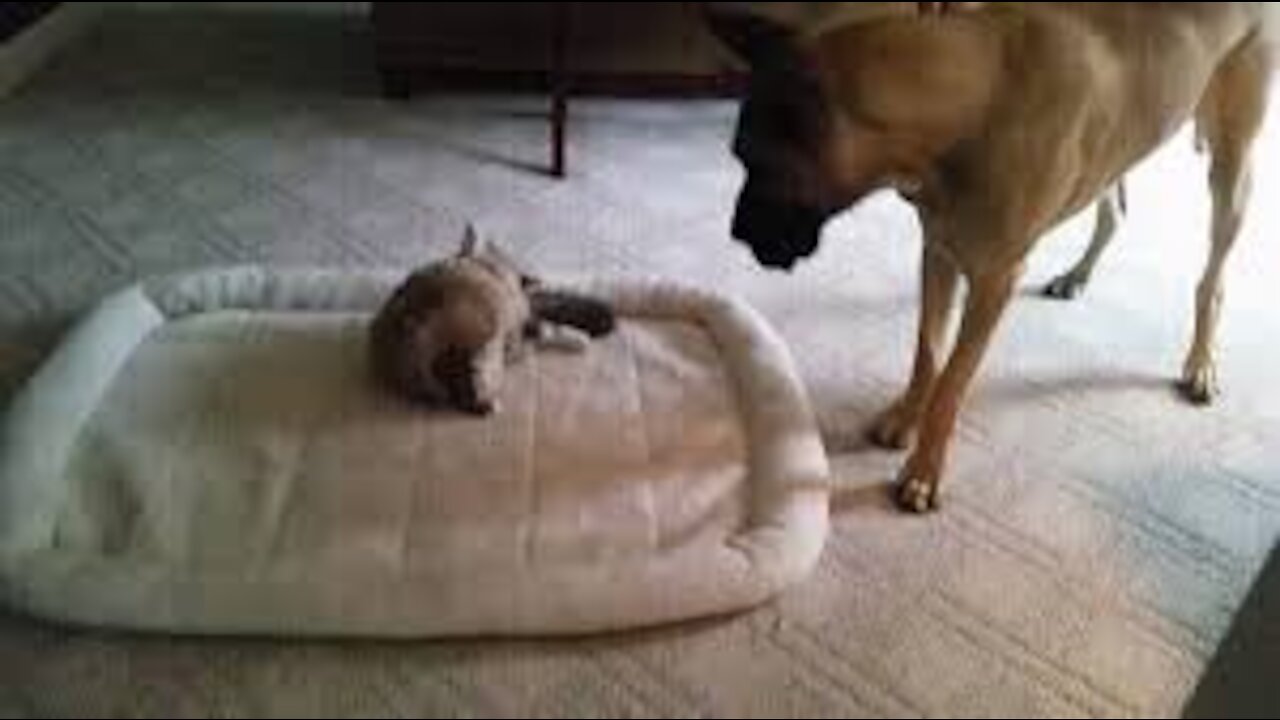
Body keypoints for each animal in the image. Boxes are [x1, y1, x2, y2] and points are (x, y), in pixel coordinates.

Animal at [711, 4, 1269, 509]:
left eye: (755, 161)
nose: (735, 234)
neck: (969, 105)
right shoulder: (939, 252)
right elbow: (927, 351)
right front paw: (905, 417)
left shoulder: (994, 279)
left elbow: (954, 380)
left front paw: (924, 471)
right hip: (1121, 147)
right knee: (1113, 210)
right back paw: (1078, 275)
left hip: (1231, 164)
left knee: (1212, 277)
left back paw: (1200, 362)